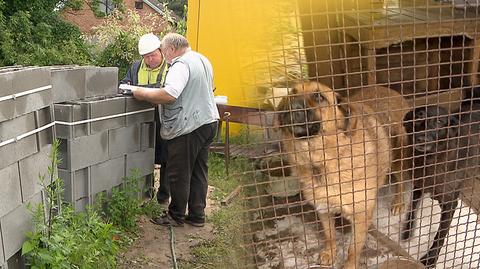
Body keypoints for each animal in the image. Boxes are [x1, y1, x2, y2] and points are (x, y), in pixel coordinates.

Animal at [276, 80, 392, 266]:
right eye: (292, 94)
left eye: (319, 97)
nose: (291, 107)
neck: (322, 162)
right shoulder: (323, 209)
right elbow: (329, 235)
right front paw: (330, 253)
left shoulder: (360, 217)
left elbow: (353, 250)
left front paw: (349, 266)